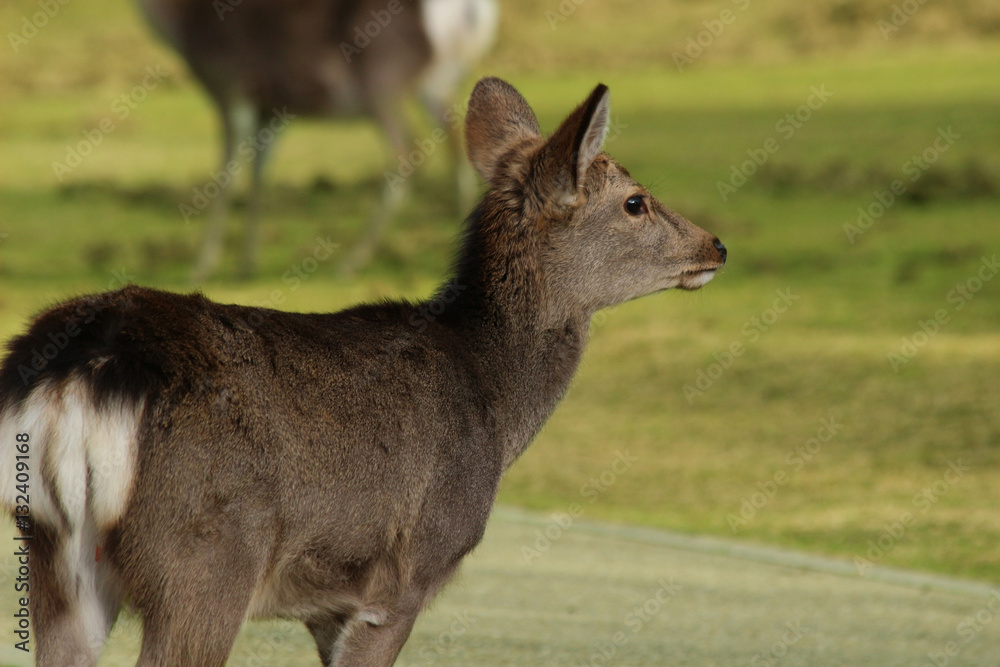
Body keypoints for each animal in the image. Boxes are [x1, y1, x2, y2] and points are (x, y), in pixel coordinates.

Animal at [0, 77, 726, 666]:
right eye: (635, 201)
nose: (716, 244)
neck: (493, 406)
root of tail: (78, 374)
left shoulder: (329, 603)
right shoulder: (403, 577)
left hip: (57, 557)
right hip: (205, 553)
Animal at [136, 0, 499, 281]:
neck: (185, 24)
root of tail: (475, 14)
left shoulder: (230, 83)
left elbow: (226, 173)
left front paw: (203, 265)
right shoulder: (271, 108)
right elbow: (259, 171)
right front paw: (247, 263)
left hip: (382, 80)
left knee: (406, 154)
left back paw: (352, 262)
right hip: (436, 84)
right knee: (455, 146)